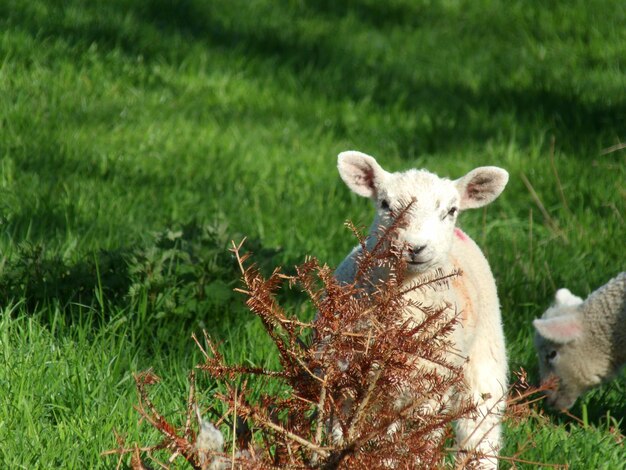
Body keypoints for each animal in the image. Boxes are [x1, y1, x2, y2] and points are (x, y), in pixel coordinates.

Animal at [334, 151, 510, 470]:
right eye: (385, 204)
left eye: (451, 210)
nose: (415, 247)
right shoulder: (344, 376)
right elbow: (339, 435)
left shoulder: (430, 389)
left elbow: (416, 443)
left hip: (484, 358)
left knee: (479, 428)